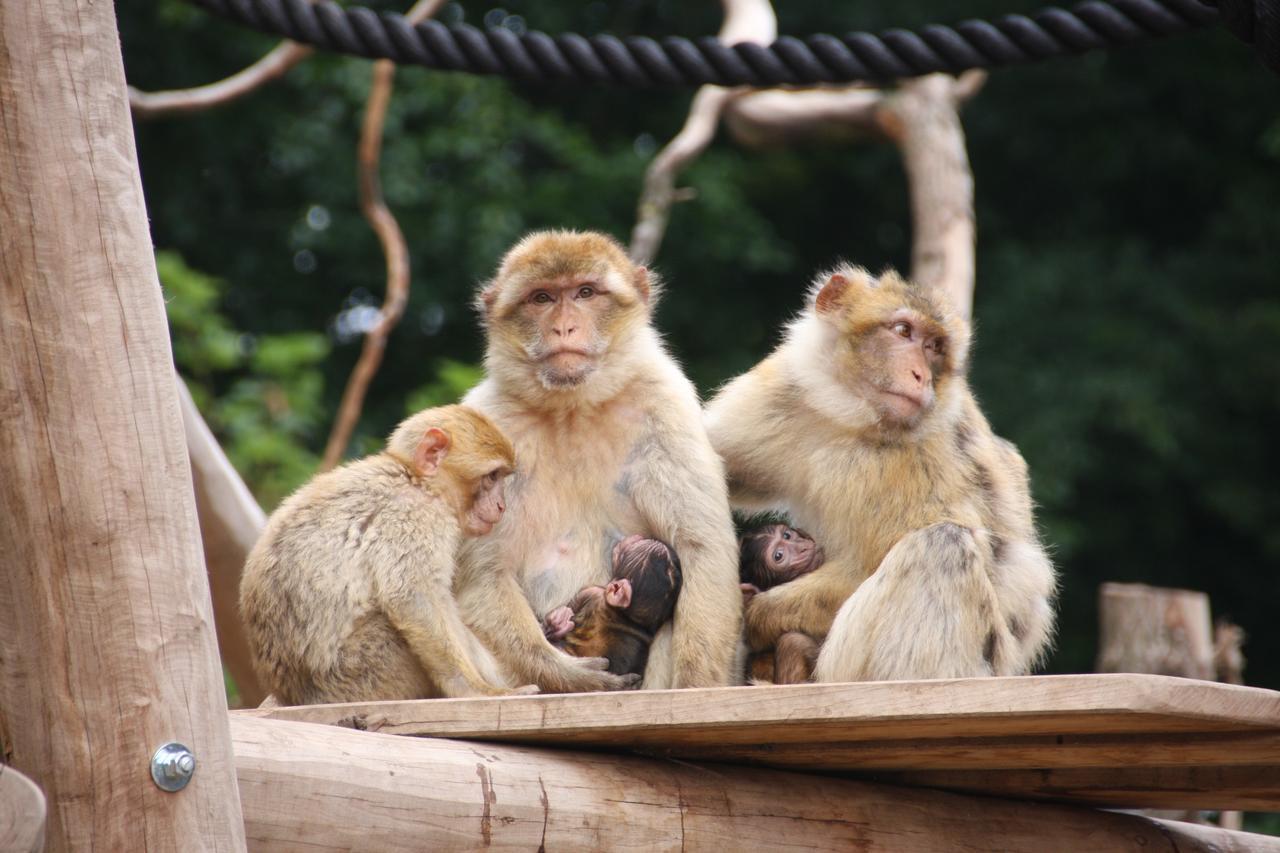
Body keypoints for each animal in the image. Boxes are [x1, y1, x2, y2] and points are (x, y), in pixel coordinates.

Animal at [241, 404, 537, 701]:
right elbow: (412, 598)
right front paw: (476, 689)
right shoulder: (417, 516)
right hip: (360, 675)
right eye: (492, 476)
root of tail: (293, 694)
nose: (501, 506)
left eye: (501, 477)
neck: (416, 479)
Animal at [460, 229, 742, 686]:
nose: (563, 326)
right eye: (541, 298)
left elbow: (703, 549)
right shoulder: (489, 420)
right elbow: (484, 576)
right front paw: (569, 674)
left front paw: (694, 686)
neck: (574, 407)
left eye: (585, 292)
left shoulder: (664, 404)